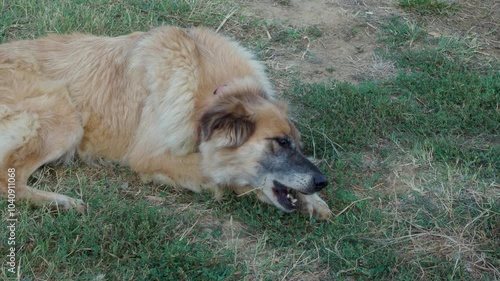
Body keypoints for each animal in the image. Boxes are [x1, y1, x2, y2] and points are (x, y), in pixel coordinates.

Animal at [0, 26, 332, 219]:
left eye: (298, 144)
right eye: (280, 142)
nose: (322, 182)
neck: (210, 92)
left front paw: (313, 201)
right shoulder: (150, 156)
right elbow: (221, 172)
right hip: (67, 118)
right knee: (8, 180)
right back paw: (61, 202)